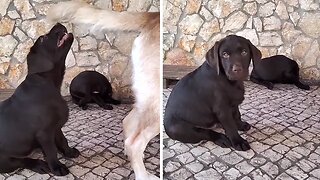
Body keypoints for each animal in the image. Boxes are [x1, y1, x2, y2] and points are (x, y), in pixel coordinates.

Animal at [0, 23, 79, 176]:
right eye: (43, 38)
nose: (58, 23)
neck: (48, 83)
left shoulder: (56, 126)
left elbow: (63, 140)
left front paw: (68, 152)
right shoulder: (45, 133)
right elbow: (51, 151)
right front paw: (57, 167)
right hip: (5, 159)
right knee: (21, 161)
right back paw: (40, 165)